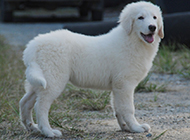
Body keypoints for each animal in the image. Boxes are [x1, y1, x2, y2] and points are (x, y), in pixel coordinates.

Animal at [20, 0, 164, 137]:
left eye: (154, 17)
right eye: (140, 18)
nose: (152, 27)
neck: (132, 40)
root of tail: (33, 46)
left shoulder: (117, 87)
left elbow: (118, 109)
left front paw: (125, 127)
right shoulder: (125, 85)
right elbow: (128, 109)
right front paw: (136, 128)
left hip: (39, 81)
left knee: (25, 102)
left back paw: (32, 128)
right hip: (53, 81)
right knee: (40, 106)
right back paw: (48, 132)